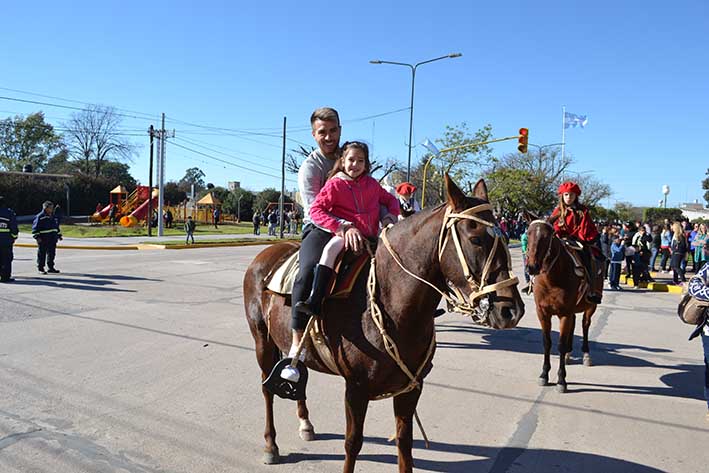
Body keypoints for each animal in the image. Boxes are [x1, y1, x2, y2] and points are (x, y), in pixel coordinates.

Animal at [243, 175, 524, 470]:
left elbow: (404, 444)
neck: (387, 301)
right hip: (262, 342)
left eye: (505, 237)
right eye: (476, 239)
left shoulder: (411, 388)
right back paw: (271, 445)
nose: (511, 310)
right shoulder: (356, 390)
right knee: (266, 389)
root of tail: (266, 255)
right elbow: (352, 444)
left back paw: (305, 423)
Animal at [524, 212, 600, 392]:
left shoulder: (564, 313)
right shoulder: (542, 313)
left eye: (547, 237)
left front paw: (561, 380)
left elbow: (560, 344)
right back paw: (568, 355)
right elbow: (547, 343)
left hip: (591, 306)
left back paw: (585, 354)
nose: (532, 267)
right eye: (528, 233)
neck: (552, 279)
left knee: (585, 325)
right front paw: (544, 374)